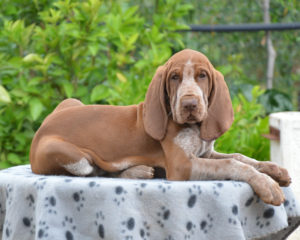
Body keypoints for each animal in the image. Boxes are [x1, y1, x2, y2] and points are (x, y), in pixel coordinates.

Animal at [30, 49, 290, 206]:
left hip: (71, 102)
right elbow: (232, 164)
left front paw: (273, 169)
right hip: (72, 155)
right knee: (95, 171)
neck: (193, 127)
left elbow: (240, 157)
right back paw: (136, 171)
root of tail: (42, 127)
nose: (189, 104)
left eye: (202, 76)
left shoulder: (205, 153)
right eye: (174, 77)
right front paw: (266, 183)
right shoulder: (182, 165)